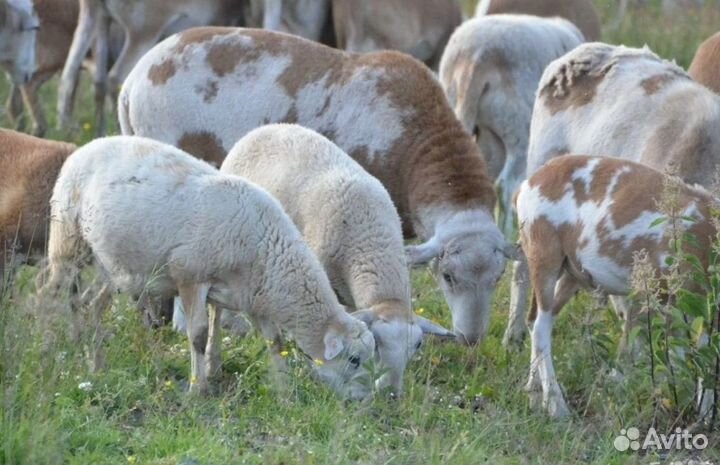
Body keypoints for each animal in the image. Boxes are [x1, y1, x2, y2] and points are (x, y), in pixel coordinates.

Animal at [41, 135, 376, 397]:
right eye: (354, 360)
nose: (364, 402)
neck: (267, 251)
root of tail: (87, 146)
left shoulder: (250, 295)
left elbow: (275, 342)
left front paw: (285, 391)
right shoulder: (190, 277)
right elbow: (199, 335)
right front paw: (197, 389)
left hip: (112, 265)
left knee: (92, 305)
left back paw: (96, 361)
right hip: (68, 240)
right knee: (53, 294)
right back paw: (52, 348)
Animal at [516, 155, 717, 417]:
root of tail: (528, 184)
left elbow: (702, 356)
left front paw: (703, 414)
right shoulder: (654, 294)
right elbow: (633, 351)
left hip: (571, 272)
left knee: (535, 320)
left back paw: (533, 396)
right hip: (544, 256)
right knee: (540, 326)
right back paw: (557, 407)